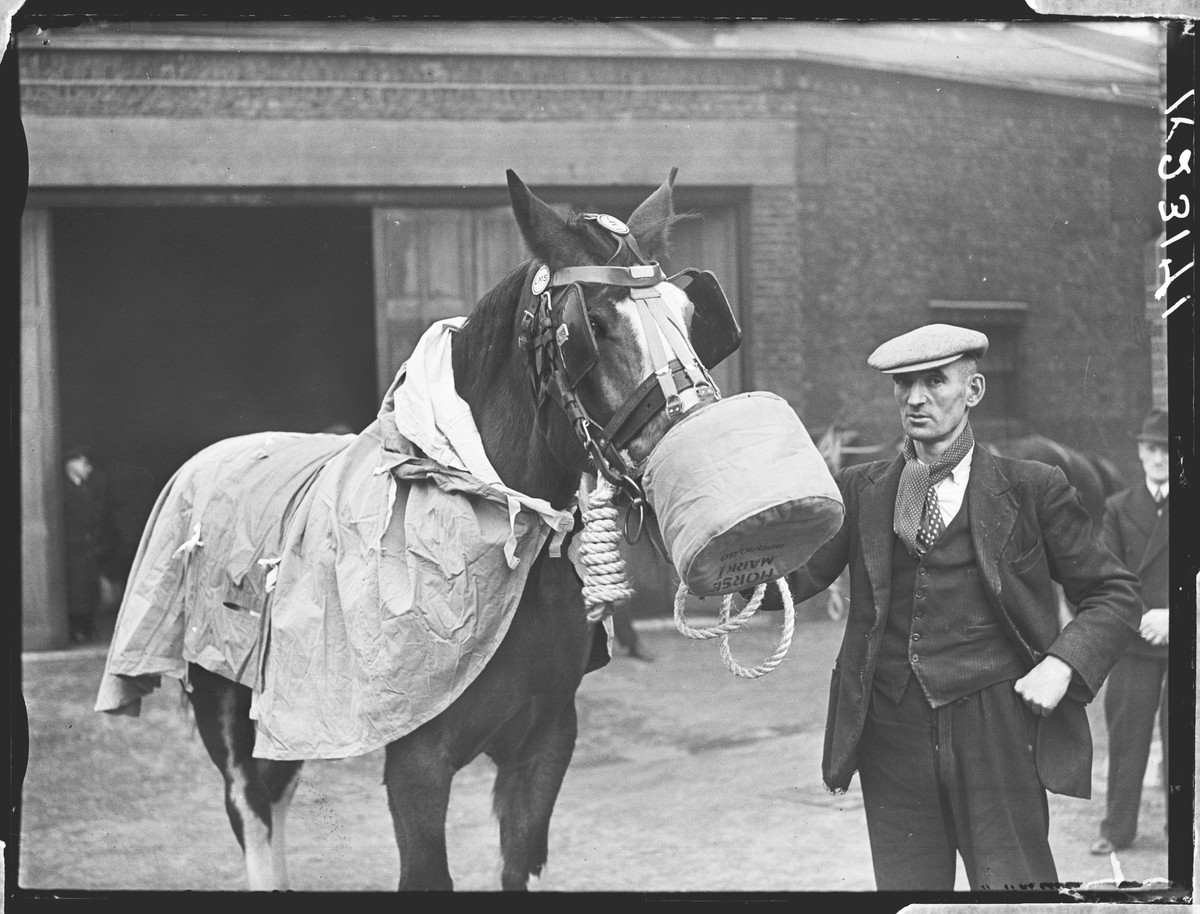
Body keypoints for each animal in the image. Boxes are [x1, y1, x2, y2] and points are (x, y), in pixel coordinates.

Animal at [98, 167, 724, 887]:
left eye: (689, 317)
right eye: (590, 324)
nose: (695, 442)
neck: (489, 518)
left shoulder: (543, 748)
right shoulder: (420, 766)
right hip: (225, 708)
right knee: (252, 810)